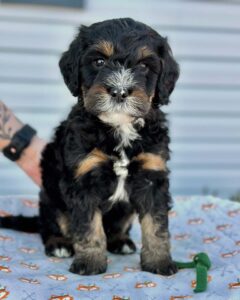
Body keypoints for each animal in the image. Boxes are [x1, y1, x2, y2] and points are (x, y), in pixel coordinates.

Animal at [0, 17, 180, 276]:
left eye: (144, 66)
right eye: (99, 61)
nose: (119, 91)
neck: (119, 128)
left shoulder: (151, 175)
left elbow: (156, 224)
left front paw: (159, 262)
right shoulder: (83, 178)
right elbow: (88, 226)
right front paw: (90, 263)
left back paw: (120, 241)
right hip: (50, 197)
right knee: (50, 225)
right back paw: (58, 244)